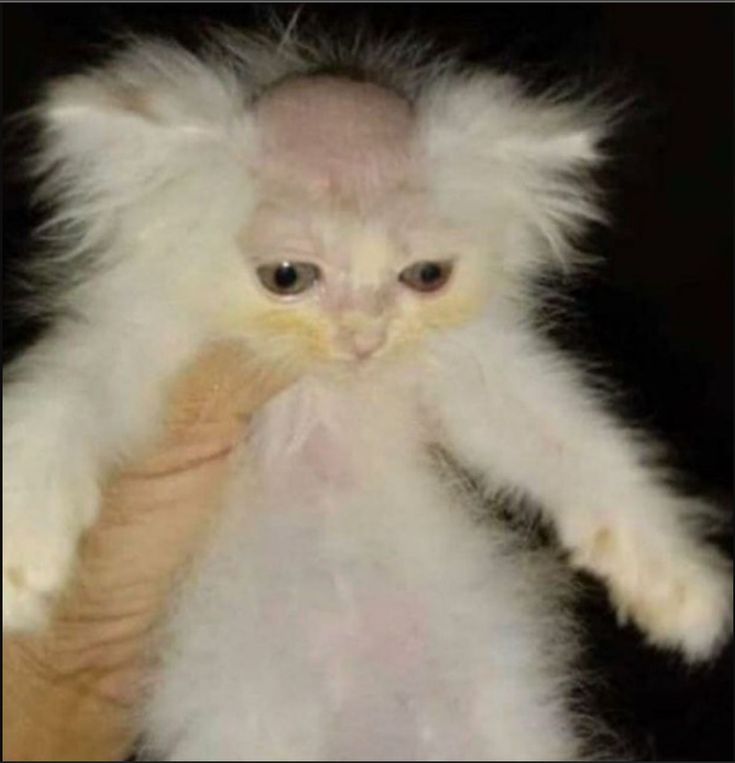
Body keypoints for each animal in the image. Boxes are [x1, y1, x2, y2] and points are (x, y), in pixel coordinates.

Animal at [2, 26, 732, 760]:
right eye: (287, 276)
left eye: (426, 275)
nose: (363, 337)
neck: (328, 399)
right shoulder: (143, 338)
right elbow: (66, 400)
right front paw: (23, 552)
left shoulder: (474, 371)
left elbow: (576, 443)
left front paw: (680, 587)